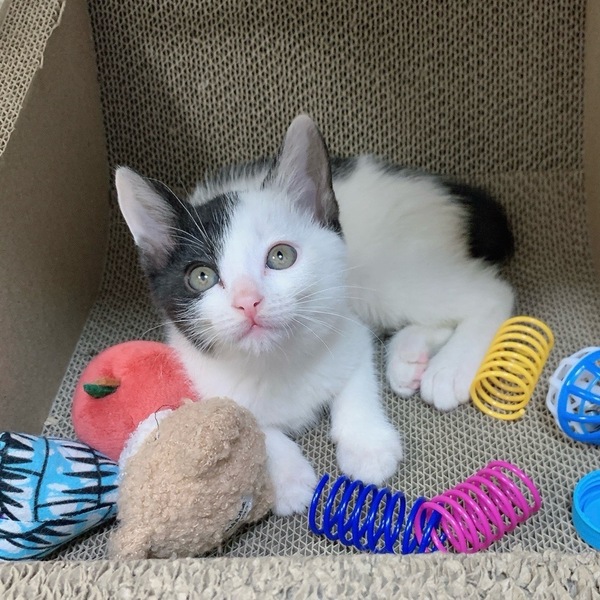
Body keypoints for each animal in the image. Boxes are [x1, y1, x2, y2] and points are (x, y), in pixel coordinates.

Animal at [115, 115, 514, 516]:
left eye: (280, 256)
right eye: (201, 276)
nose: (248, 301)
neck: (276, 361)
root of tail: (439, 188)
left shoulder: (347, 323)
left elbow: (355, 380)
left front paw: (368, 446)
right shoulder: (200, 372)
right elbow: (250, 421)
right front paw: (288, 479)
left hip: (384, 272)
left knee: (490, 293)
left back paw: (449, 370)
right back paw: (409, 359)